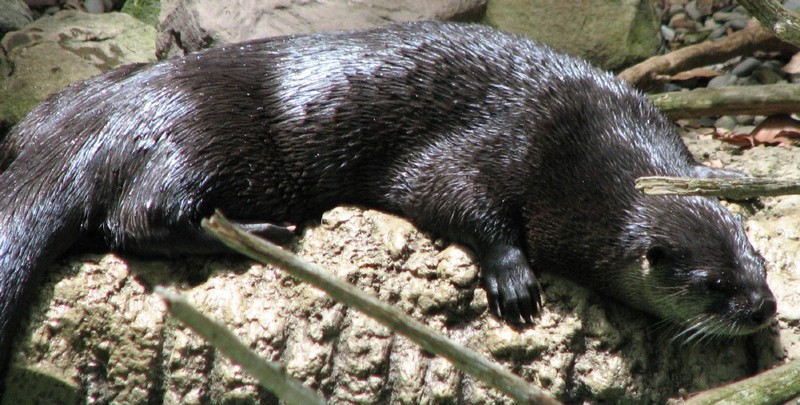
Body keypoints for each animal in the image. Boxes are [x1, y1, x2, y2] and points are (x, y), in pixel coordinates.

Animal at [0, 19, 776, 376]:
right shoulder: (499, 148)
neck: (585, 146)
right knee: (136, 217)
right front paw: (513, 278)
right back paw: (265, 231)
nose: (763, 308)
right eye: (712, 285)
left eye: (759, 264)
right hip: (194, 137)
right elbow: (454, 198)